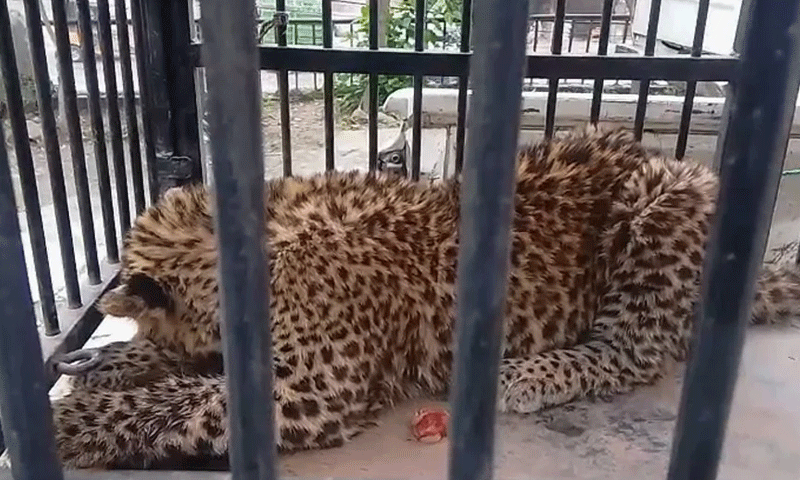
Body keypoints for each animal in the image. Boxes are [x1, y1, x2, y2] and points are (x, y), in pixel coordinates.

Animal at [45, 125, 800, 469]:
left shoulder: (314, 389)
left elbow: (168, 401)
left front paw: (62, 424)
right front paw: (99, 366)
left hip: (666, 193)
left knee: (633, 352)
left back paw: (524, 376)